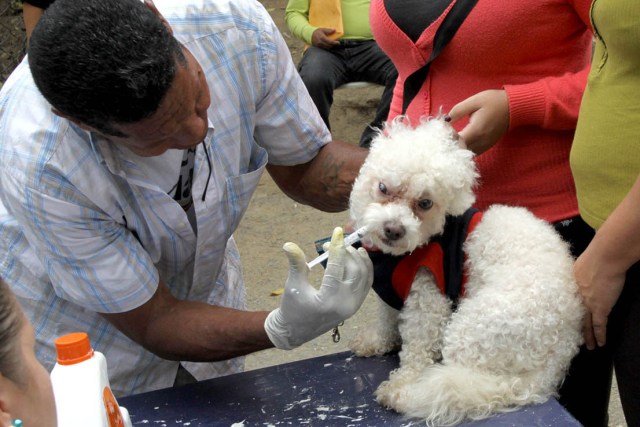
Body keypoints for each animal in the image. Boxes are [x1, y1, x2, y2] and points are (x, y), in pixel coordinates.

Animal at [350, 116, 584, 424]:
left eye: (425, 203)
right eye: (383, 188)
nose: (393, 229)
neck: (402, 254)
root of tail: (557, 357)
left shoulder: (428, 299)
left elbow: (417, 350)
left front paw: (404, 380)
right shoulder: (391, 294)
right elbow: (386, 321)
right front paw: (376, 341)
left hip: (471, 330)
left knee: (460, 380)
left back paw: (411, 394)